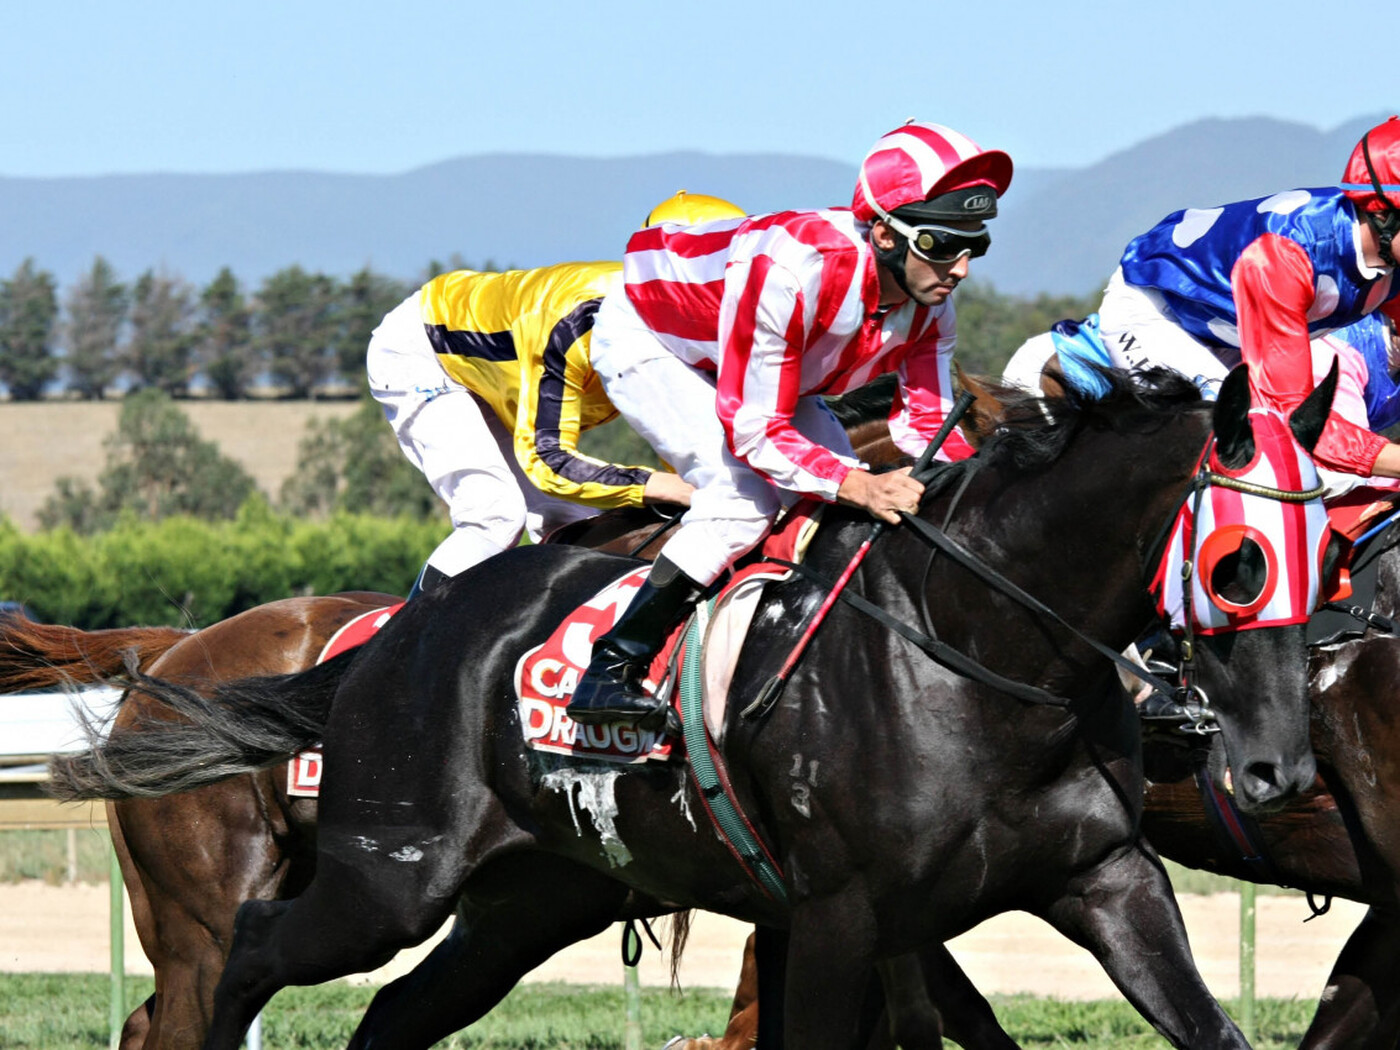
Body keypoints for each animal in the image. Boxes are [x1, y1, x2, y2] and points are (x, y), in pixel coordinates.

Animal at [49, 365, 1338, 1050]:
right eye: (1237, 564)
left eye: (1327, 549)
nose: (1273, 769)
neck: (983, 653)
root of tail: (391, 649)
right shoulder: (836, 912)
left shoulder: (1100, 878)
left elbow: (1205, 1028)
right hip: (376, 878)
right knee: (239, 963)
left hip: (529, 900)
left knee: (393, 1013)